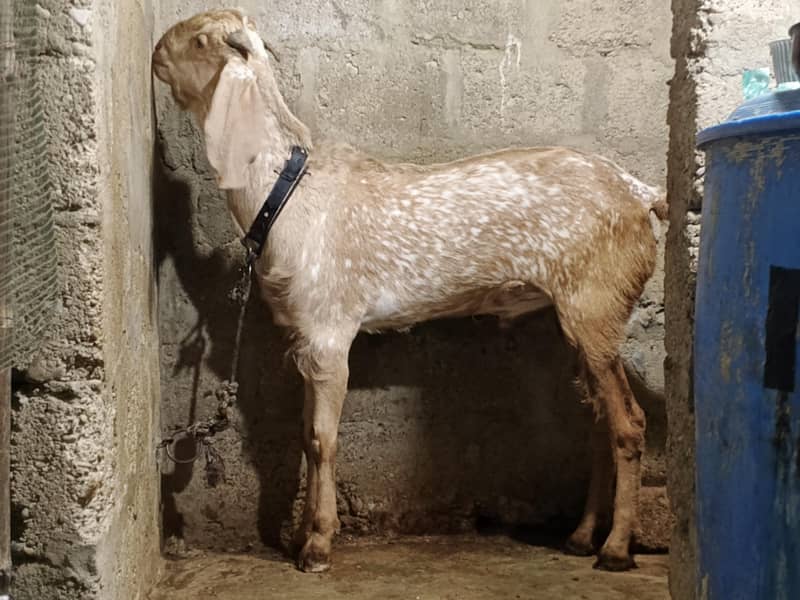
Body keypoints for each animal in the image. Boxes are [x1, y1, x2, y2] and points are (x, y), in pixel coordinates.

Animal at [153, 8, 667, 574]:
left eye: (201, 40)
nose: (155, 53)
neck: (285, 194)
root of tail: (642, 194)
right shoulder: (307, 337)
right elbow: (308, 439)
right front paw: (302, 534)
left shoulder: (330, 330)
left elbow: (322, 439)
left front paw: (318, 544)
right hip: (583, 317)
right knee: (600, 422)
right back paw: (580, 537)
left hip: (597, 302)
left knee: (630, 423)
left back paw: (615, 549)